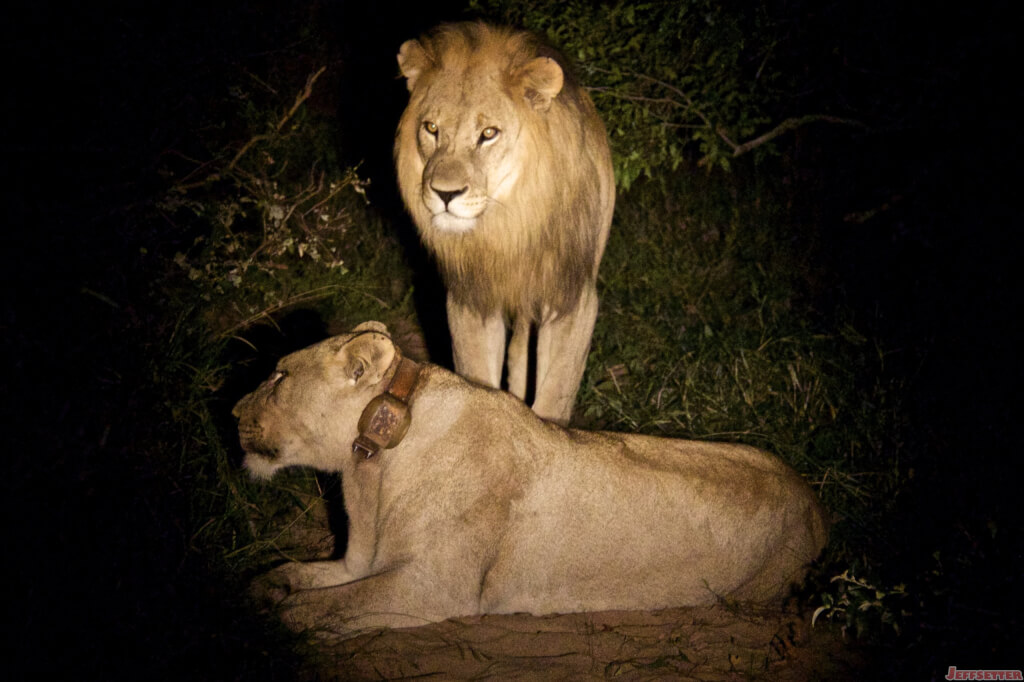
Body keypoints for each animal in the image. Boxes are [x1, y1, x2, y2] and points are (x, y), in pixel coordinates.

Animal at [234, 322, 828, 636]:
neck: (370, 464)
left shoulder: (432, 586)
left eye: (279, 376)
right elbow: (302, 575)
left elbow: (327, 607)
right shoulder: (360, 562)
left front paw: (277, 621)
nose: (234, 411)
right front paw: (264, 588)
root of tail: (814, 500)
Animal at [394, 22, 615, 425]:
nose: (445, 193)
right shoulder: (470, 299)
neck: (506, 228)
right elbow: (476, 377)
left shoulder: (572, 296)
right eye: (431, 128)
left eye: (488, 133)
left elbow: (555, 397)